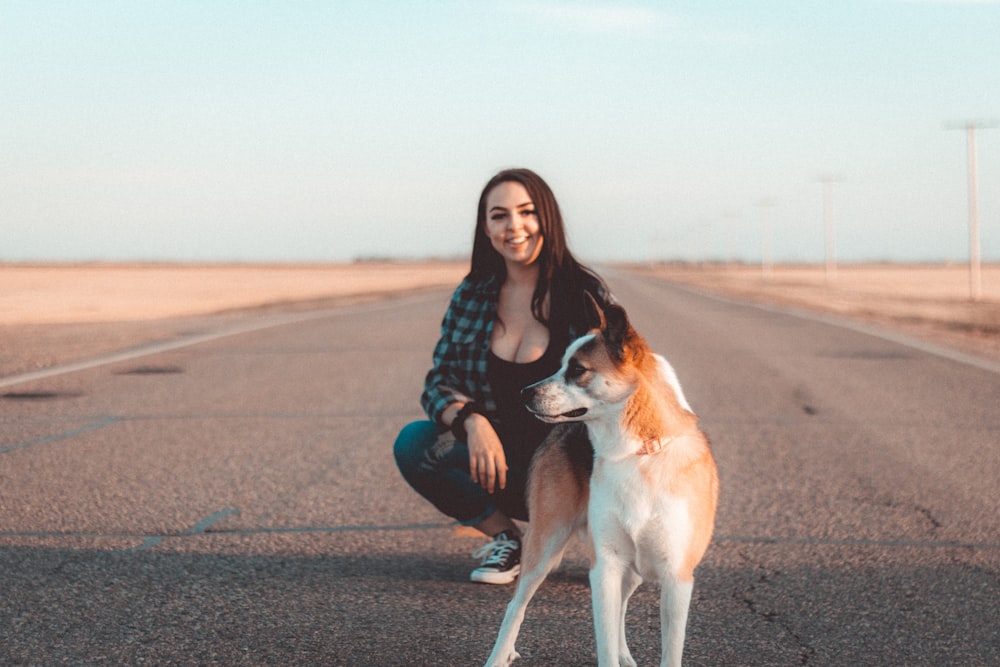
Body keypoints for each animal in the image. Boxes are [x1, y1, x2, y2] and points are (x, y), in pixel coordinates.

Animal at [484, 300, 720, 664]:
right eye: (561, 364)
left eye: (578, 369)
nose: (524, 392)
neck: (637, 454)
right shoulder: (605, 567)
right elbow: (604, 641)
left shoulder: (676, 580)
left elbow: (666, 649)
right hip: (546, 545)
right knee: (516, 605)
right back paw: (498, 656)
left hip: (630, 570)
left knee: (620, 608)